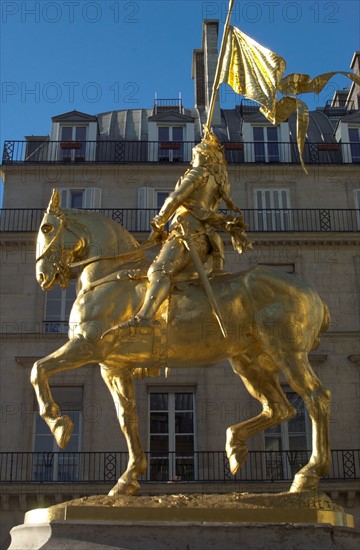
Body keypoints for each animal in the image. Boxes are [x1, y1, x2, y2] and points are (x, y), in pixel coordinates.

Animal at [32, 192, 330, 498]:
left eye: (46, 228)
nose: (42, 276)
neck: (111, 274)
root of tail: (311, 292)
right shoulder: (113, 367)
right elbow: (127, 417)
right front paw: (129, 477)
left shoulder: (86, 345)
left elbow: (38, 370)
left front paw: (58, 424)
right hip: (248, 362)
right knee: (280, 408)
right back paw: (235, 445)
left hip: (288, 354)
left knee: (316, 399)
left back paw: (307, 474)